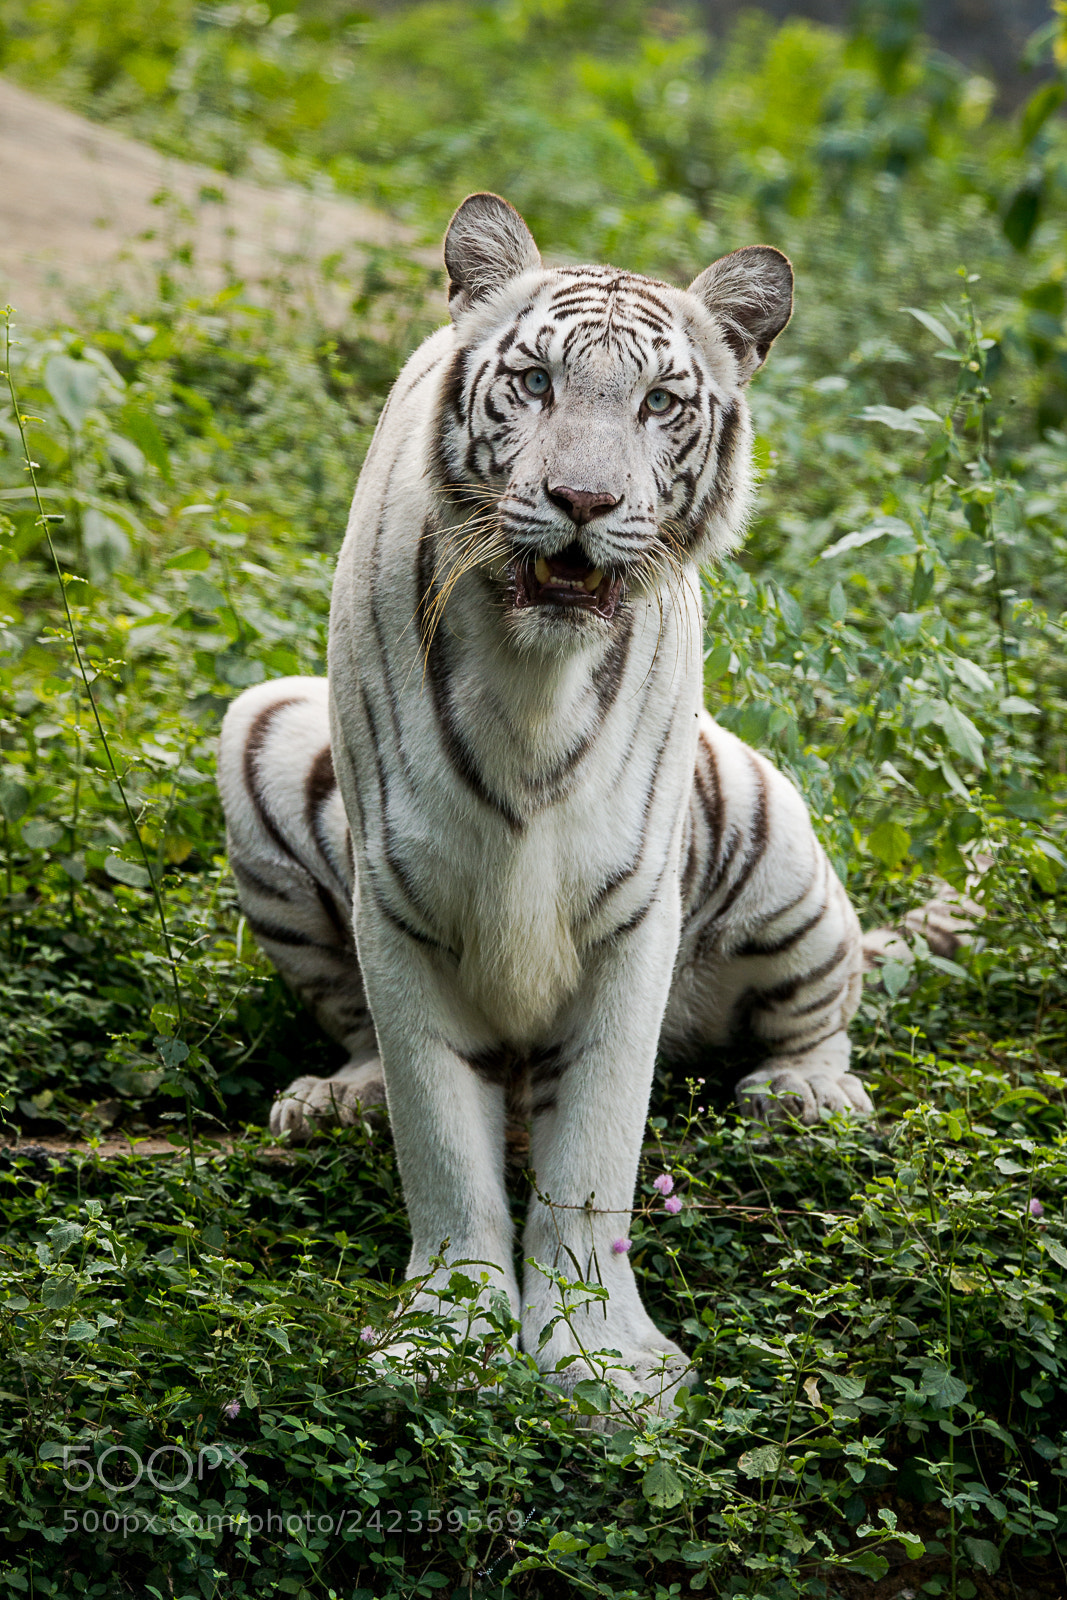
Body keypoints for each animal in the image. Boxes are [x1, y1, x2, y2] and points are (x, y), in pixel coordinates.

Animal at [216, 192, 874, 1418]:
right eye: (533, 382)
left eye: (659, 402)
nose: (582, 500)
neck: (533, 672)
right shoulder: (399, 905)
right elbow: (442, 1145)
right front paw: (444, 1339)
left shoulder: (633, 919)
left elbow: (593, 1158)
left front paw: (597, 1359)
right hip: (261, 733)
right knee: (364, 1042)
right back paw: (338, 1099)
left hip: (771, 835)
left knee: (824, 1011)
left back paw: (805, 1096)